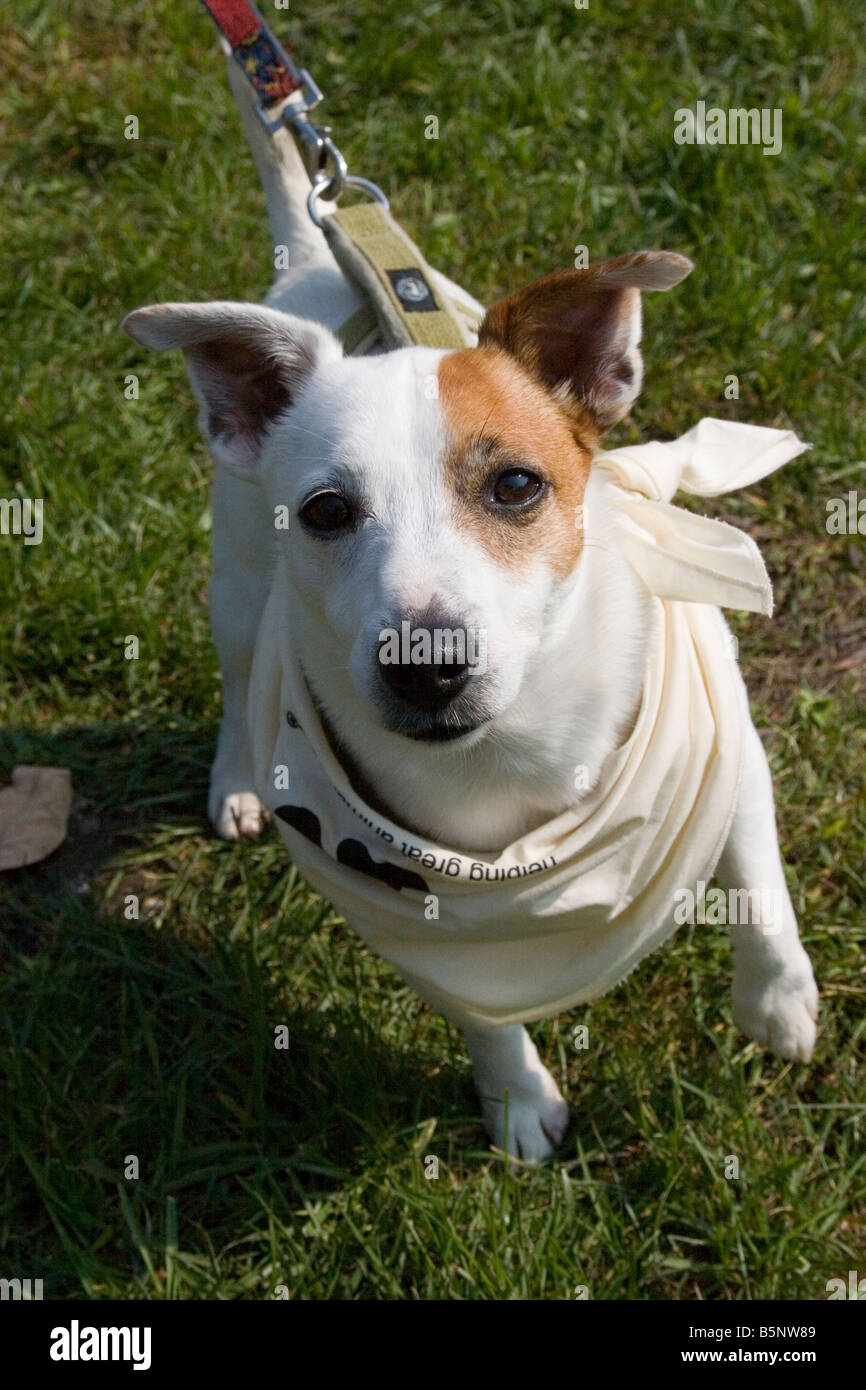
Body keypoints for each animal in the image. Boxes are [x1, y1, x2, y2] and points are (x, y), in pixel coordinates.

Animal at [123, 56, 817, 1162]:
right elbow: (481, 1011)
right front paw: (515, 1098)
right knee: (237, 677)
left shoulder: (729, 747)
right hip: (236, 580)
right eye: (326, 510)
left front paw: (777, 1006)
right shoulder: (423, 913)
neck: (512, 754)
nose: (426, 663)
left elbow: (756, 882)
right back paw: (236, 779)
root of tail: (317, 259)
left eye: (516, 486)